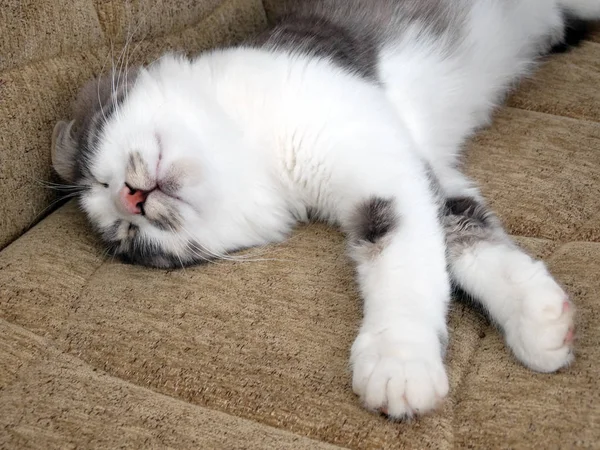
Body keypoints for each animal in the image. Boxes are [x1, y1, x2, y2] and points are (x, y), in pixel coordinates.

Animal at [52, 0, 600, 420]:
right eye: (127, 238)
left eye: (99, 166)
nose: (129, 198)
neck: (255, 145)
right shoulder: (417, 166)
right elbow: (460, 232)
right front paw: (537, 315)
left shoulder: (379, 155)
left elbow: (406, 260)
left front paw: (398, 358)